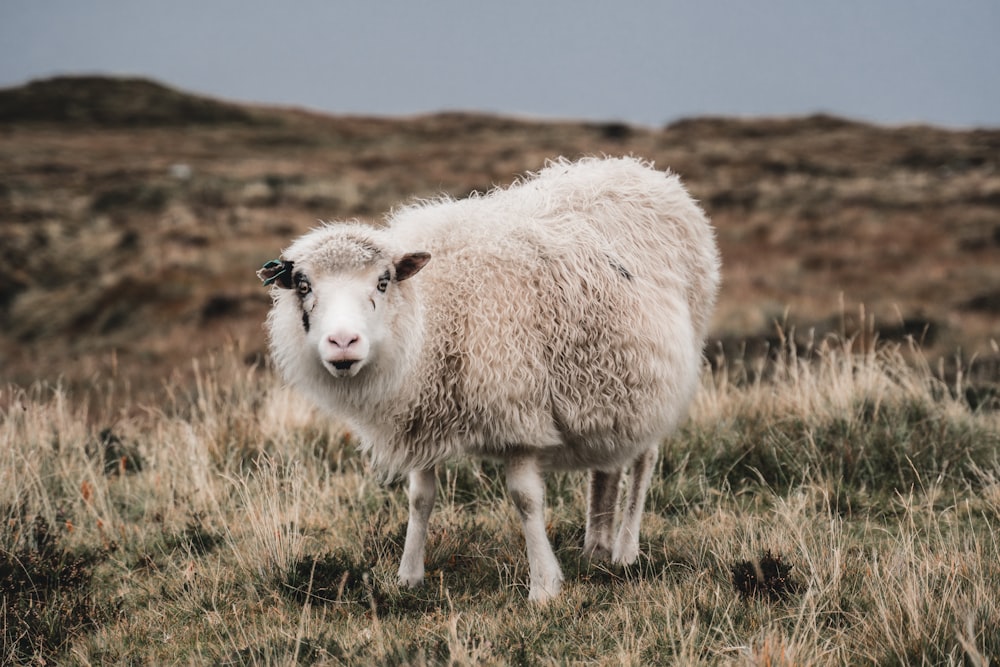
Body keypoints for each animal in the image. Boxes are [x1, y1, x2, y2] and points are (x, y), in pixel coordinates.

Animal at [258, 158, 720, 604]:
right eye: (303, 285)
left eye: (382, 282)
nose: (342, 342)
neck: (434, 311)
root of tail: (646, 172)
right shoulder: (423, 414)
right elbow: (420, 498)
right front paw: (409, 577)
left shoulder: (518, 411)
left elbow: (526, 500)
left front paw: (544, 587)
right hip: (611, 384)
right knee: (607, 466)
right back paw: (596, 548)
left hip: (662, 377)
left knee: (644, 460)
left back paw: (624, 550)